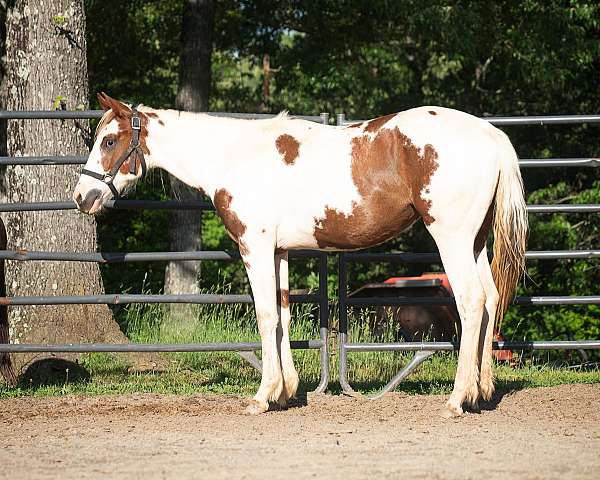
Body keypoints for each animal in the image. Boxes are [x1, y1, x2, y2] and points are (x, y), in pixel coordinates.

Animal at [74, 94, 524, 416]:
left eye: (109, 140)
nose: (82, 197)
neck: (234, 157)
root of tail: (489, 135)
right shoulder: (279, 252)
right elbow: (283, 313)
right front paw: (286, 391)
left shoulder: (254, 246)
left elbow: (264, 315)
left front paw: (262, 397)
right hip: (476, 242)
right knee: (491, 299)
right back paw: (482, 392)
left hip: (452, 238)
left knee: (472, 301)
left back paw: (457, 399)